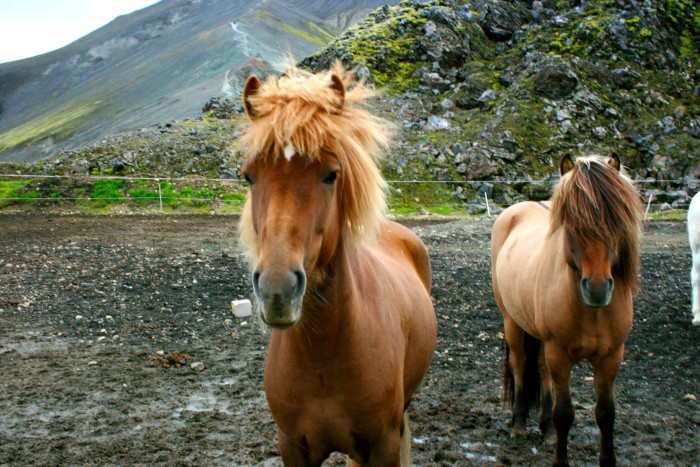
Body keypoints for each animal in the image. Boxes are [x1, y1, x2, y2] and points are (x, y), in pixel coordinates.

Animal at [237, 63, 437, 466]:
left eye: (330, 174)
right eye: (249, 176)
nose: (277, 291)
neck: (322, 355)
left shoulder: (383, 443)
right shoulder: (293, 446)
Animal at [491, 153, 643, 466]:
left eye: (615, 220)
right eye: (571, 223)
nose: (597, 288)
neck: (592, 312)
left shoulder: (611, 357)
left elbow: (606, 413)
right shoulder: (559, 352)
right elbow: (565, 413)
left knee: (540, 369)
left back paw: (546, 429)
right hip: (513, 323)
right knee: (520, 364)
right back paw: (519, 424)